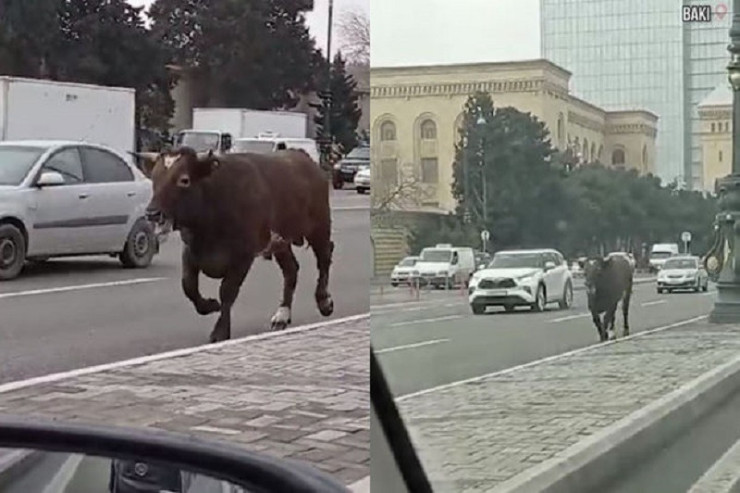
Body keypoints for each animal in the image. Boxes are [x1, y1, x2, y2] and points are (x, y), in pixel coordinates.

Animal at [132, 144, 334, 340]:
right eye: (154, 178)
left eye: (184, 180)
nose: (152, 213)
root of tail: (305, 159)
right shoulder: (190, 251)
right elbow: (188, 285)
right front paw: (210, 305)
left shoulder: (243, 255)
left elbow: (227, 290)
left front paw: (220, 331)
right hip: (281, 242)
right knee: (291, 269)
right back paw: (282, 315)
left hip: (319, 227)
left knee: (324, 258)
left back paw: (324, 301)